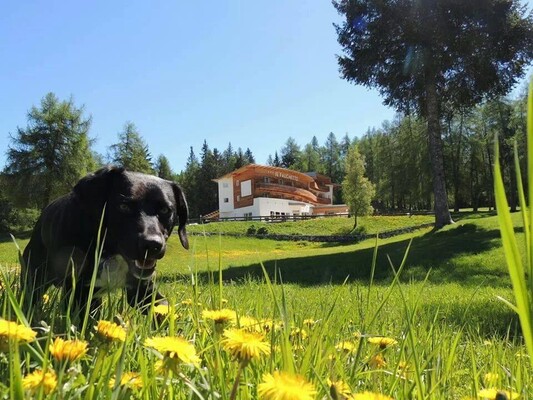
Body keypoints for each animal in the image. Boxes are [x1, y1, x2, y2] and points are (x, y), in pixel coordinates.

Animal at [21, 166, 189, 318]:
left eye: (165, 210)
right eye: (124, 206)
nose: (152, 245)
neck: (109, 251)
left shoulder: (143, 290)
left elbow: (161, 311)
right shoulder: (78, 292)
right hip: (34, 278)